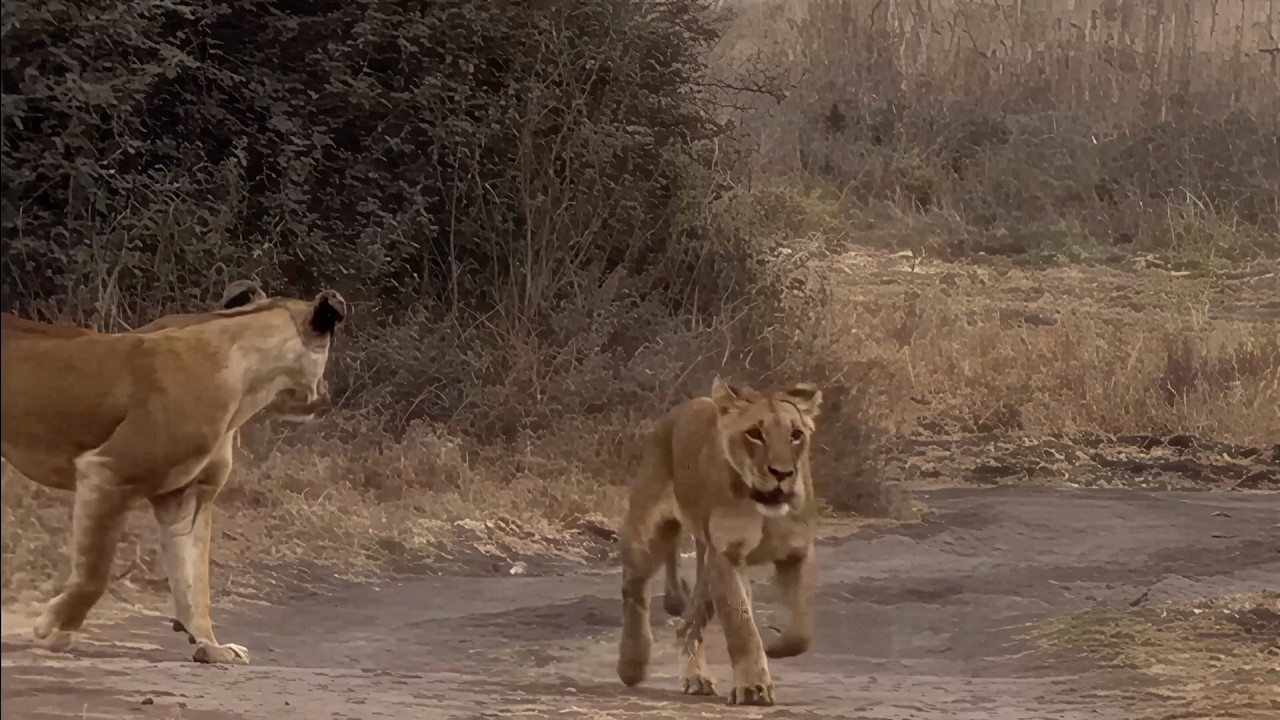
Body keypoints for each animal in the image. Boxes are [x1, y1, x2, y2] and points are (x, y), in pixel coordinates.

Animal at [0, 288, 347, 665]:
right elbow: (95, 573)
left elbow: (194, 579)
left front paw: (212, 646)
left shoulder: (188, 495)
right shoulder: (108, 472)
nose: (327, 391)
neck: (248, 380)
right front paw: (54, 630)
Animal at [616, 376, 823, 706]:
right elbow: (741, 627)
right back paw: (632, 664)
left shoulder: (797, 552)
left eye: (796, 435)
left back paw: (696, 678)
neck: (762, 509)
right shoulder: (727, 556)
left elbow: (801, 631)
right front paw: (753, 688)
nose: (782, 473)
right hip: (648, 534)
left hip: (706, 565)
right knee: (633, 588)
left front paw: (777, 647)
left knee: (687, 625)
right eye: (755, 434)